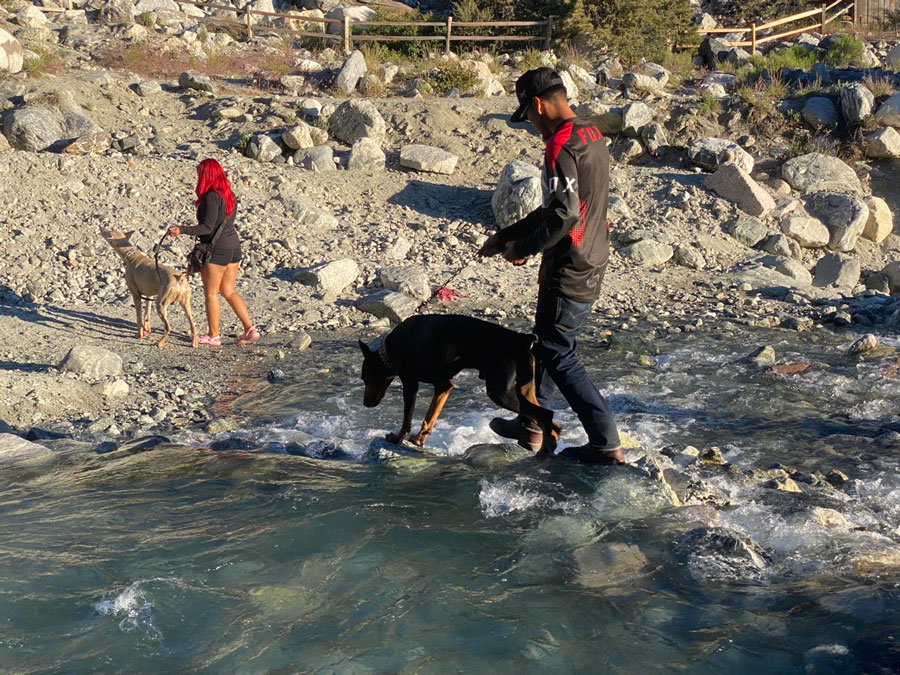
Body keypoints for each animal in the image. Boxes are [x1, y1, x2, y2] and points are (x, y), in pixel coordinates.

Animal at [360, 314, 564, 456]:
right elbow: (430, 417)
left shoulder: (411, 383)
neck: (391, 347)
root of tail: (522, 339)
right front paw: (419, 440)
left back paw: (544, 451)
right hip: (525, 389)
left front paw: (397, 438)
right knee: (552, 423)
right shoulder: (444, 386)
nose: (365, 404)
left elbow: (407, 419)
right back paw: (550, 446)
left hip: (501, 393)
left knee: (545, 415)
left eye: (364, 377)